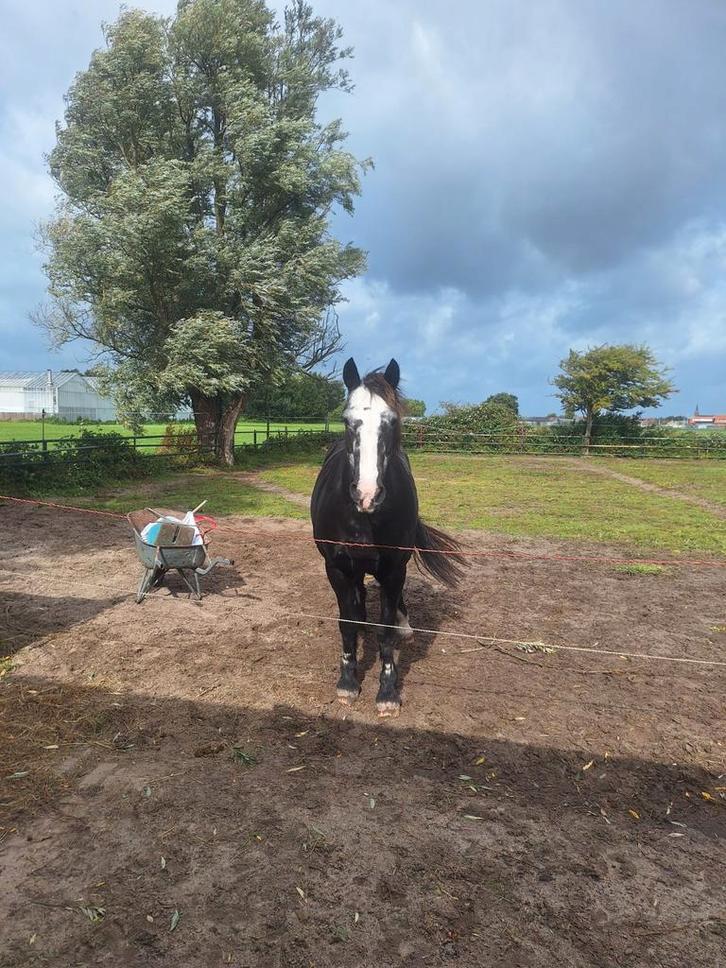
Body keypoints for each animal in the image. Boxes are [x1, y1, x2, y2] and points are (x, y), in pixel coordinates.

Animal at [310, 357, 466, 716]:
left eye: (392, 421)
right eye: (347, 420)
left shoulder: (395, 568)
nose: (367, 494)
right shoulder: (336, 568)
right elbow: (346, 622)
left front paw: (387, 692)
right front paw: (348, 682)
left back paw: (404, 623)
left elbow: (387, 631)